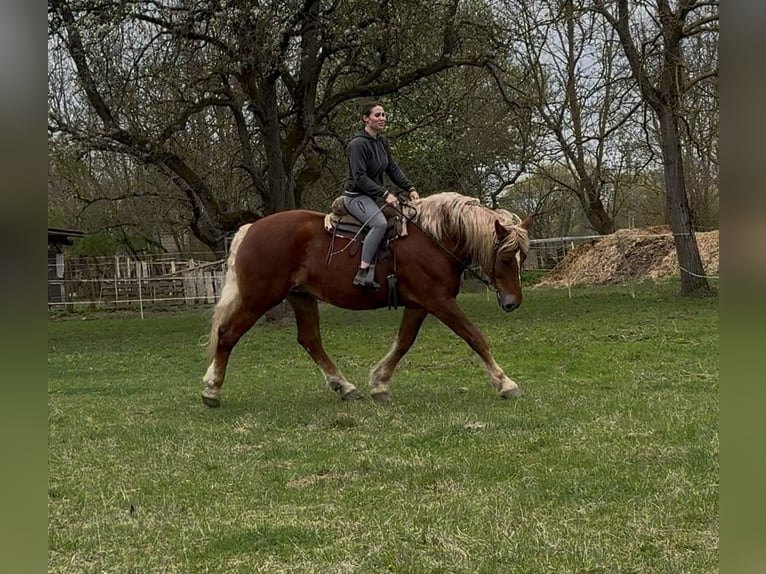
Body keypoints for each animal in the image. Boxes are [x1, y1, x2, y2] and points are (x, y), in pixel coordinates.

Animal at [202, 192, 532, 407]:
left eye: (522, 257)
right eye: (505, 258)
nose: (513, 302)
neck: (434, 237)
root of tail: (250, 229)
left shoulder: (419, 304)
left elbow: (403, 343)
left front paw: (379, 384)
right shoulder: (438, 300)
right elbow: (474, 336)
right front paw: (505, 383)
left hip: (301, 297)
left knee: (310, 341)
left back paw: (344, 386)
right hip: (259, 297)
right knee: (227, 334)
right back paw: (212, 390)